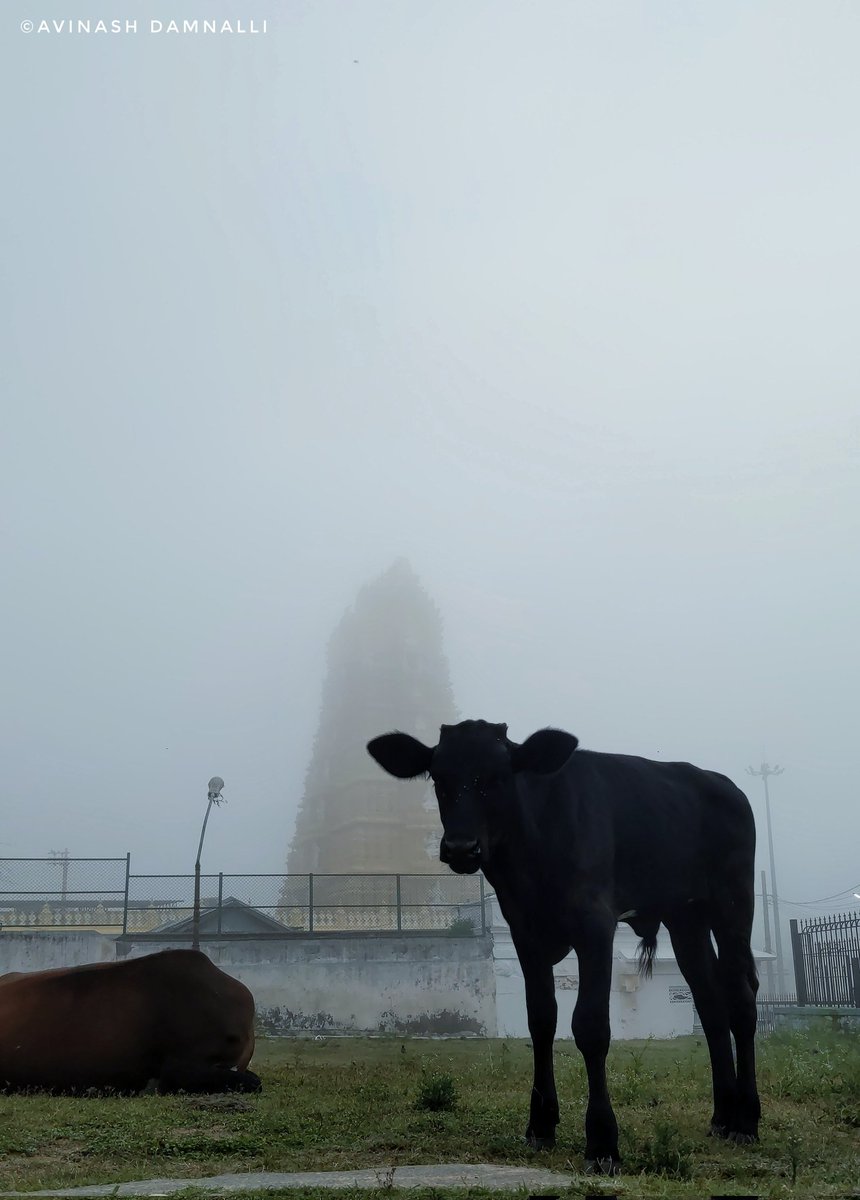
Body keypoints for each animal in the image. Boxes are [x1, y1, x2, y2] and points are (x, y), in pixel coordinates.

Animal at [369, 720, 758, 1171]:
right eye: (438, 778)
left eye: (498, 777)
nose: (461, 847)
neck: (531, 858)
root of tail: (725, 785)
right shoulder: (524, 932)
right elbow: (541, 1020)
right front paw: (540, 1125)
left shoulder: (596, 924)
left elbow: (590, 1025)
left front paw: (603, 1142)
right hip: (686, 919)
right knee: (710, 1004)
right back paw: (722, 1116)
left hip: (733, 904)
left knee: (741, 999)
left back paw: (747, 1121)